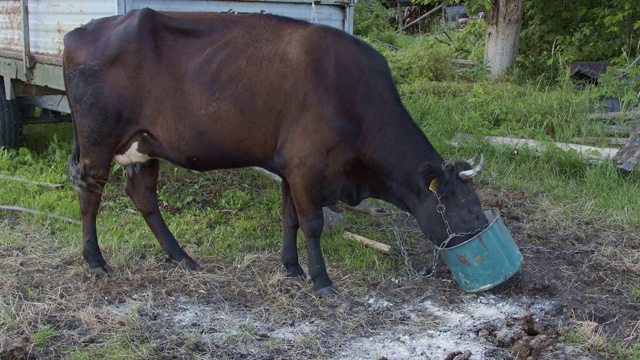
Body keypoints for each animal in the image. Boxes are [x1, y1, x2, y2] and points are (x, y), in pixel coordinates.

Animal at [63, 9, 484, 296]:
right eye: (470, 209)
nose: (482, 235)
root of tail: (78, 32)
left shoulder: (289, 167)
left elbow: (289, 219)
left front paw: (292, 269)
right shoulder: (306, 164)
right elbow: (312, 222)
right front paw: (321, 280)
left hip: (144, 145)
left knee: (143, 196)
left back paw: (182, 257)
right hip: (98, 140)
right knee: (89, 194)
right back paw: (96, 262)